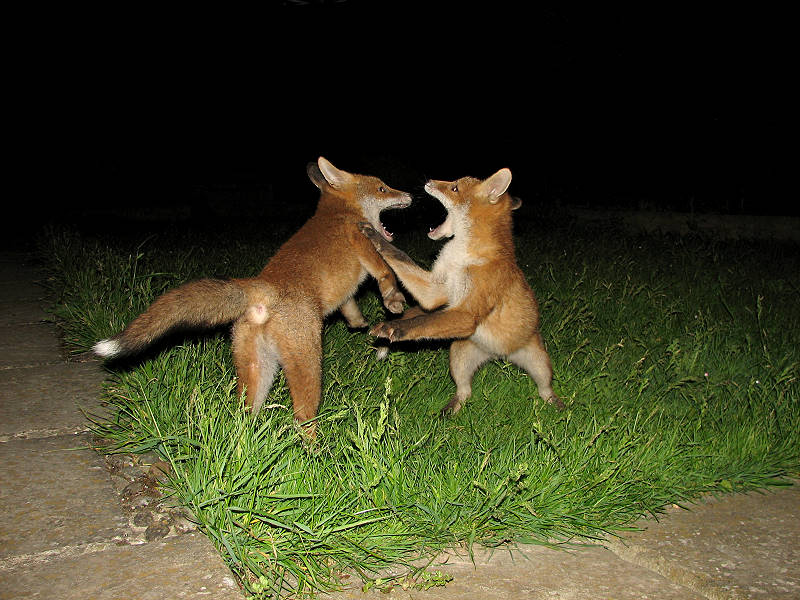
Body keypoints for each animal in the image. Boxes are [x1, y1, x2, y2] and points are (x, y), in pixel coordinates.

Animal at [94, 156, 411, 428]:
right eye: (382, 188)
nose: (409, 195)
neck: (340, 211)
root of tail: (262, 286)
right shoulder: (361, 239)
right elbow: (384, 273)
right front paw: (393, 300)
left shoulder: (345, 293)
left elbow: (349, 304)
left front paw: (358, 323)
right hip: (308, 364)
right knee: (302, 419)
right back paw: (315, 452)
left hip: (257, 369)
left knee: (243, 414)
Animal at [359, 167, 562, 415]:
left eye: (454, 188)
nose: (428, 181)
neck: (462, 256)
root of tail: (499, 355)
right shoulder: (435, 291)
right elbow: (399, 256)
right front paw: (374, 236)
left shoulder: (467, 315)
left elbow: (421, 321)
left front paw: (392, 328)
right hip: (458, 356)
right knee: (465, 391)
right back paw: (451, 409)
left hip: (541, 364)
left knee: (545, 389)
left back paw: (557, 405)